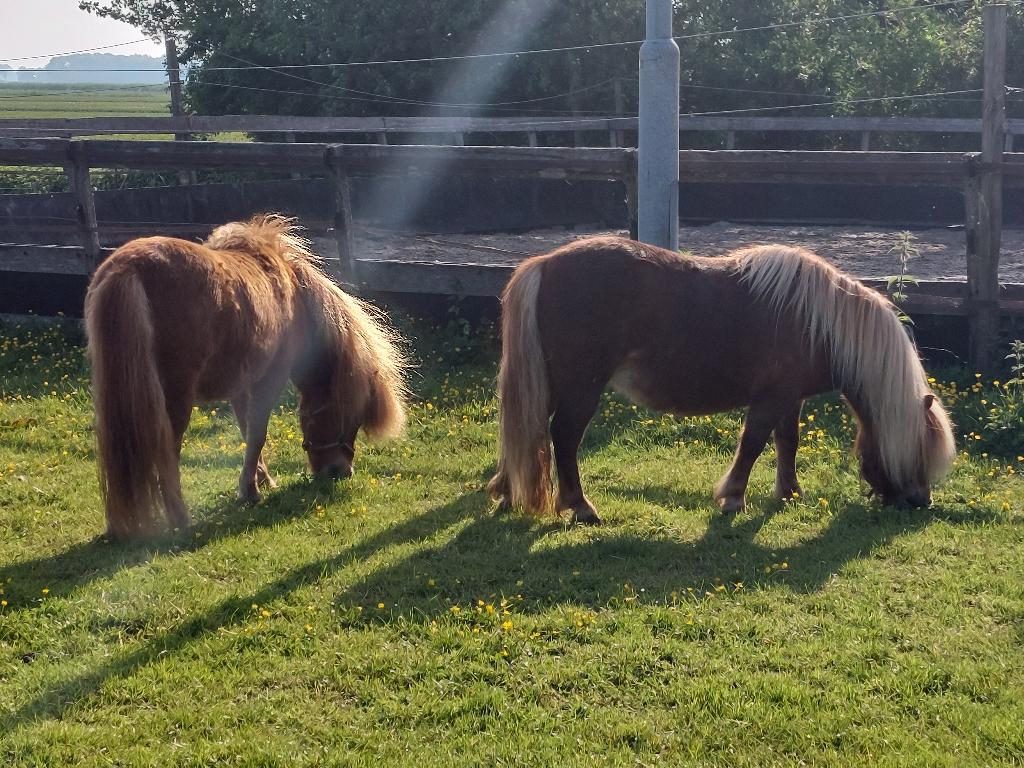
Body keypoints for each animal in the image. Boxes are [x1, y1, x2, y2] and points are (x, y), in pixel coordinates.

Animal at [85, 214, 407, 540]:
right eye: (350, 417)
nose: (340, 472)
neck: (295, 298)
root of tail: (129, 268)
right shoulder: (269, 379)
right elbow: (257, 433)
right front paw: (251, 491)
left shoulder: (241, 385)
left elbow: (247, 430)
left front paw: (260, 479)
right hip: (174, 401)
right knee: (167, 452)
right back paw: (181, 519)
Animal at [487, 236, 956, 525]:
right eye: (919, 450)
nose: (921, 502)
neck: (818, 321)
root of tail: (544, 265)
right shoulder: (770, 399)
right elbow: (752, 445)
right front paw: (734, 498)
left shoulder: (791, 399)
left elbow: (787, 443)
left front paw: (790, 494)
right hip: (580, 388)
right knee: (563, 438)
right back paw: (581, 508)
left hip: (552, 385)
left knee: (525, 433)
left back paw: (506, 492)